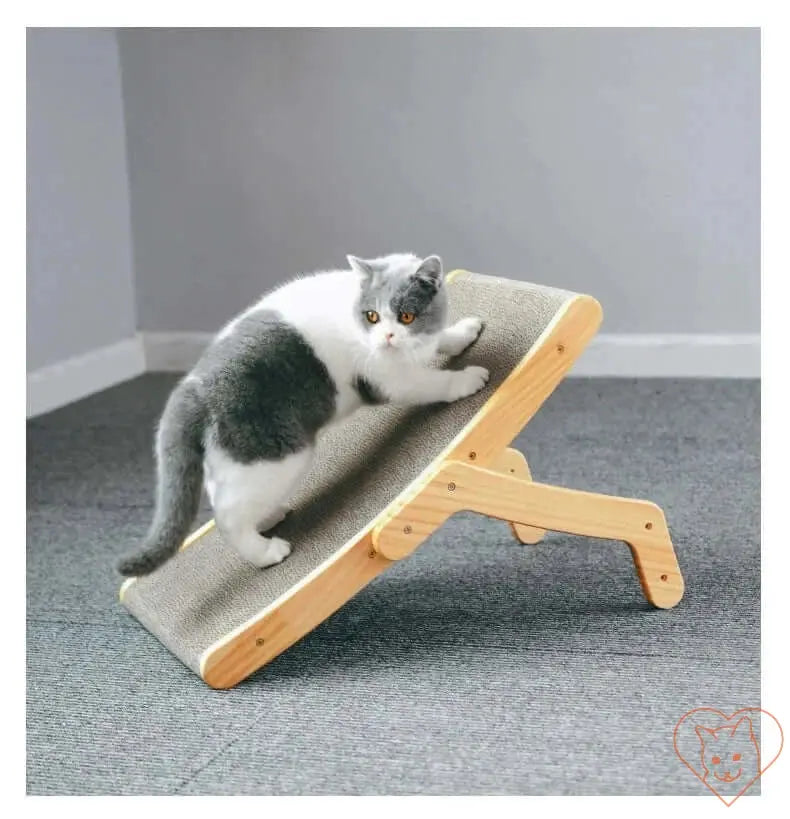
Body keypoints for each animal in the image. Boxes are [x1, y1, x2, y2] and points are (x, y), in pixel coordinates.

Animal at [117, 253, 488, 580]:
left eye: (406, 316)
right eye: (372, 316)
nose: (387, 337)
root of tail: (190, 390)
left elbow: (440, 339)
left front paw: (463, 331)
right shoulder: (388, 377)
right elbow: (432, 382)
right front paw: (467, 379)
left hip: (231, 457)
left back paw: (268, 517)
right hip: (275, 454)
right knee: (228, 515)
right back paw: (266, 551)